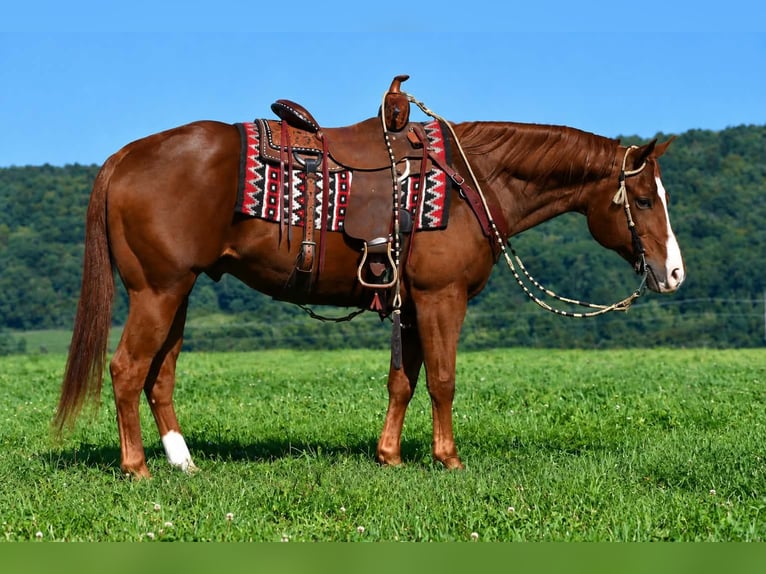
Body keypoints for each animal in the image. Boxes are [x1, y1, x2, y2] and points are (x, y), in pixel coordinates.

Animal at [54, 92, 685, 478]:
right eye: (643, 199)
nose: (674, 273)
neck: (473, 181)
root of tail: (125, 156)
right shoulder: (441, 297)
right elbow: (444, 380)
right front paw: (448, 459)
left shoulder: (412, 302)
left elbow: (403, 381)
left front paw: (390, 456)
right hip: (157, 292)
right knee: (127, 370)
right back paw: (136, 467)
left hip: (176, 293)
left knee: (159, 376)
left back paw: (182, 462)